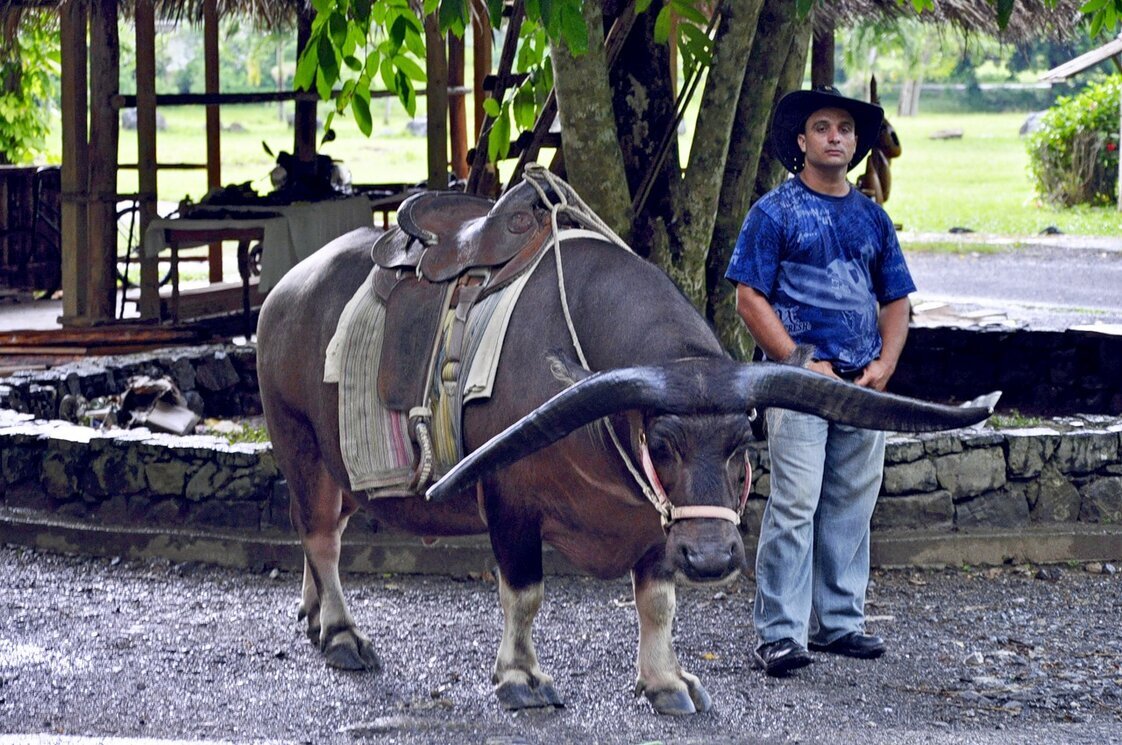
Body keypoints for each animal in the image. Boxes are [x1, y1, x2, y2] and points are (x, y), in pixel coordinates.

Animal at [256, 199, 991, 718]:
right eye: (661, 441)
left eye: (743, 441)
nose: (713, 558)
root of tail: (285, 291)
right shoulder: (509, 503)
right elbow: (524, 592)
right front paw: (521, 678)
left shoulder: (659, 523)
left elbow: (658, 602)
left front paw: (666, 681)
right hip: (298, 442)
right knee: (320, 536)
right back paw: (342, 633)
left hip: (334, 468)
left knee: (321, 532)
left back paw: (314, 616)